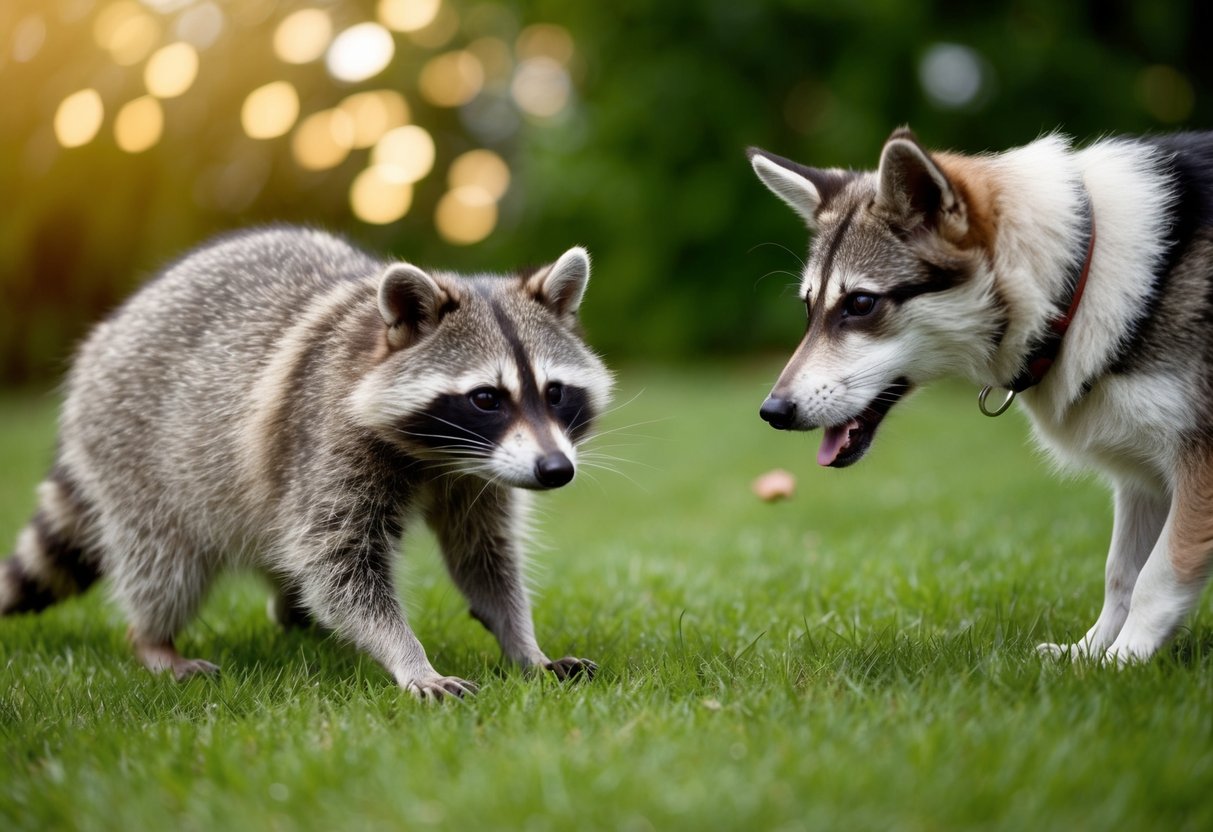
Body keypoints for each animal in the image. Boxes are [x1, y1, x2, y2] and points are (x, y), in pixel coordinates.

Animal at [0, 227, 613, 699]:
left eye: (555, 392)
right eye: (487, 397)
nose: (556, 470)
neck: (438, 455)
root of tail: (106, 335)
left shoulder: (479, 477)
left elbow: (484, 557)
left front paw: (524, 645)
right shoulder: (325, 436)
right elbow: (339, 564)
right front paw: (408, 657)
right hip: (136, 452)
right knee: (166, 561)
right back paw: (153, 638)